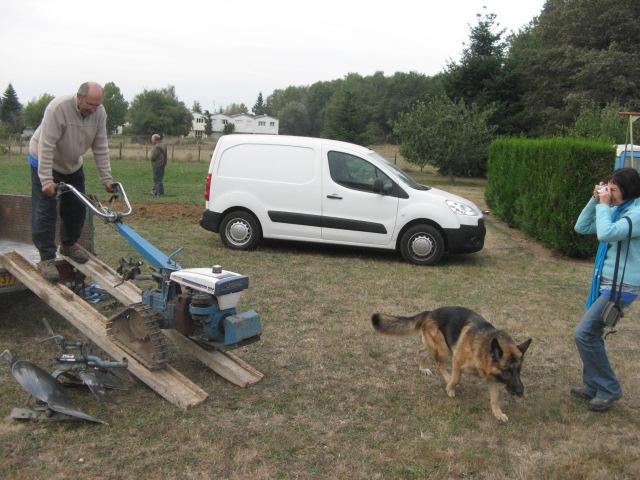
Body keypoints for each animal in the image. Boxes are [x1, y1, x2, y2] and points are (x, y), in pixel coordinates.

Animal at [372, 306, 532, 422]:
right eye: (507, 371)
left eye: (518, 370)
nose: (521, 391)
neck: (483, 348)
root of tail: (430, 312)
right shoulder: (457, 360)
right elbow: (456, 378)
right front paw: (450, 388)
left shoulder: (491, 378)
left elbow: (495, 398)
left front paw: (498, 413)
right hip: (444, 349)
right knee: (439, 364)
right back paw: (446, 378)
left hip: (437, 347)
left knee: (421, 351)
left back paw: (423, 368)